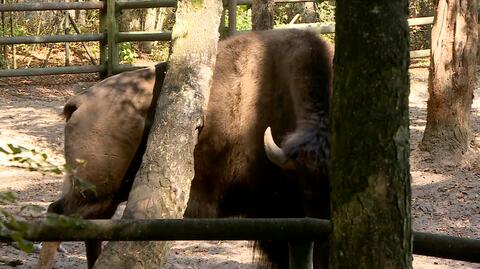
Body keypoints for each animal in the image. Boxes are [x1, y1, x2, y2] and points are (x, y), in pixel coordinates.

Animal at [37, 28, 332, 266]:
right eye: (304, 185)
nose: (327, 222)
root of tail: (80, 103)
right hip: (93, 194)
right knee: (58, 219)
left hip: (103, 198)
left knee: (89, 231)